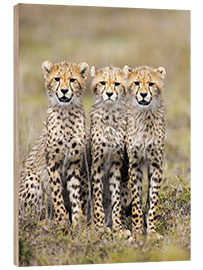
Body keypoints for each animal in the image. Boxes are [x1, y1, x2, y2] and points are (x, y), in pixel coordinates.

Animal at [18, 60, 89, 227]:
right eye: (57, 79)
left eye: (72, 80)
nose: (64, 91)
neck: (67, 113)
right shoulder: (52, 162)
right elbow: (56, 191)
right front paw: (62, 219)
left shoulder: (73, 163)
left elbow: (75, 192)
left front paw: (77, 220)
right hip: (33, 178)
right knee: (31, 216)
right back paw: (45, 222)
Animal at [123, 65, 167, 238]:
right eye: (136, 83)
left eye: (151, 84)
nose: (143, 94)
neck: (144, 114)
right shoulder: (134, 166)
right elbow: (136, 200)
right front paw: (137, 230)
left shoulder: (156, 166)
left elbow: (153, 199)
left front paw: (151, 231)